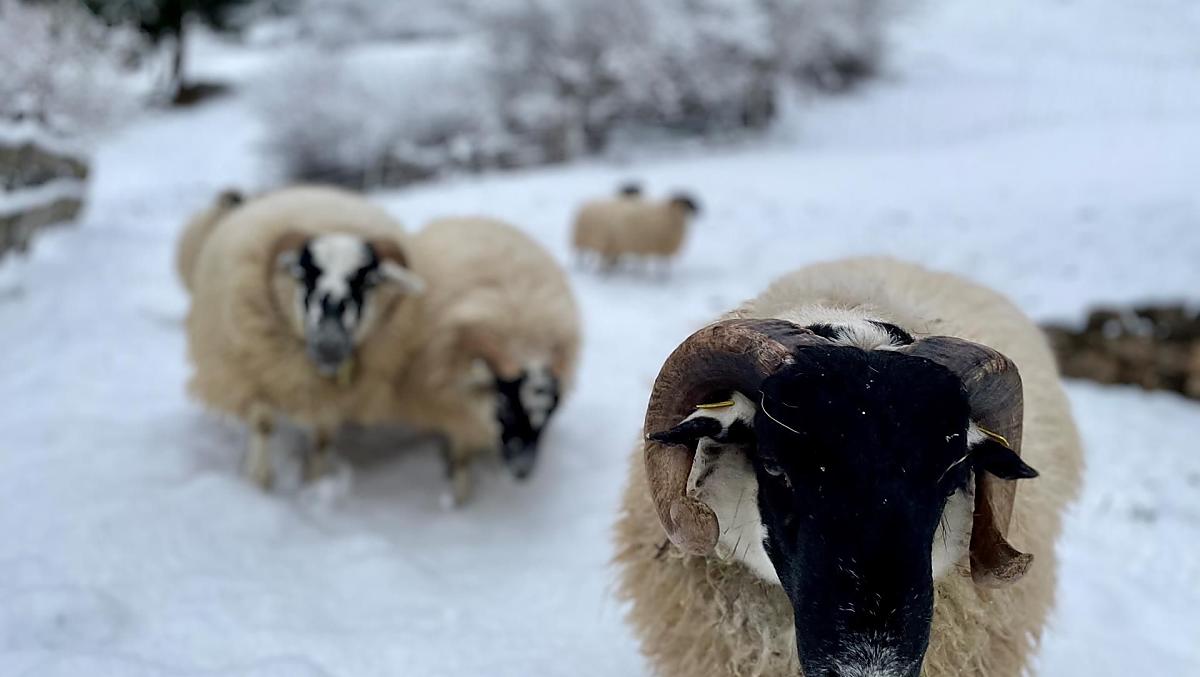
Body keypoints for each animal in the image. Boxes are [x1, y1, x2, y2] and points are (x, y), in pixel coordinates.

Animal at [185, 185, 425, 488]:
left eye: (369, 280)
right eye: (304, 273)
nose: (329, 344)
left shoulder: (332, 398)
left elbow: (322, 438)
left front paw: (315, 480)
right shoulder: (252, 372)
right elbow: (263, 424)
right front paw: (259, 480)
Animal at [380, 216, 581, 506]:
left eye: (551, 412)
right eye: (506, 407)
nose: (522, 472)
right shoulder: (454, 409)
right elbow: (461, 454)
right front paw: (459, 494)